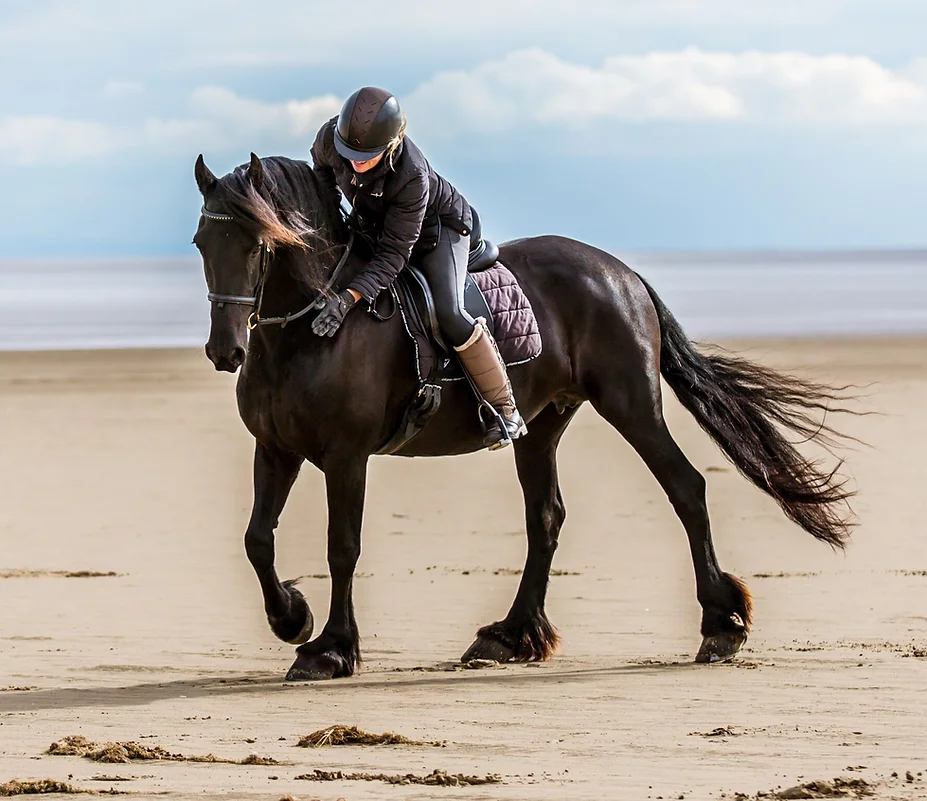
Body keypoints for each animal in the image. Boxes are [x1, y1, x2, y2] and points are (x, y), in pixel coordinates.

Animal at [194, 153, 856, 680]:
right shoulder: (276, 449)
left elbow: (342, 546)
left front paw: (330, 649)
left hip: (629, 403)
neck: (307, 334)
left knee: (685, 489)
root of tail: (622, 273)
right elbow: (256, 539)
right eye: (202, 243)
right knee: (547, 518)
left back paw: (720, 624)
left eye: (259, 244)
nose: (225, 351)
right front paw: (291, 618)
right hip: (541, 425)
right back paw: (511, 636)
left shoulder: (346, 457)